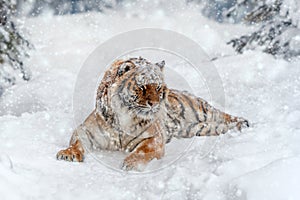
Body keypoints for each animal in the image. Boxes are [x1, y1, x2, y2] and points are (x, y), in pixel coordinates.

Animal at [56, 56, 248, 170]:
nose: (155, 104)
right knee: (217, 127)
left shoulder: (154, 138)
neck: (123, 118)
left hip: (200, 110)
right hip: (198, 128)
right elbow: (77, 142)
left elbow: (143, 151)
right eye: (142, 87)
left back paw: (243, 123)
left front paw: (130, 163)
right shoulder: (86, 130)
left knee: (223, 115)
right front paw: (68, 154)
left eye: (157, 87)